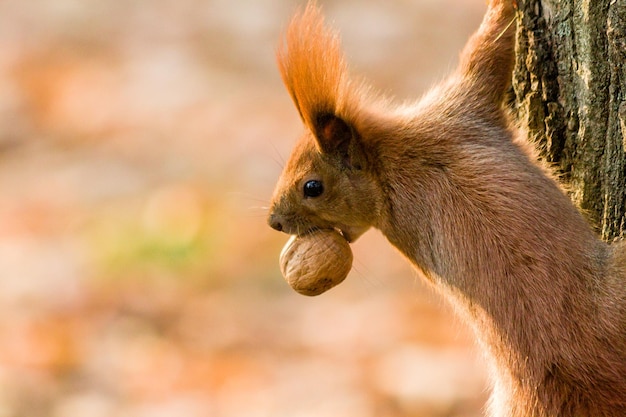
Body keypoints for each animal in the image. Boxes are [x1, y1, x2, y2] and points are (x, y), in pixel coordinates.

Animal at [266, 1, 624, 414]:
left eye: (312, 187)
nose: (274, 222)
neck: (390, 170)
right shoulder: (459, 111)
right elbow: (488, 53)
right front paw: (504, 7)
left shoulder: (453, 116)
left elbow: (488, 54)